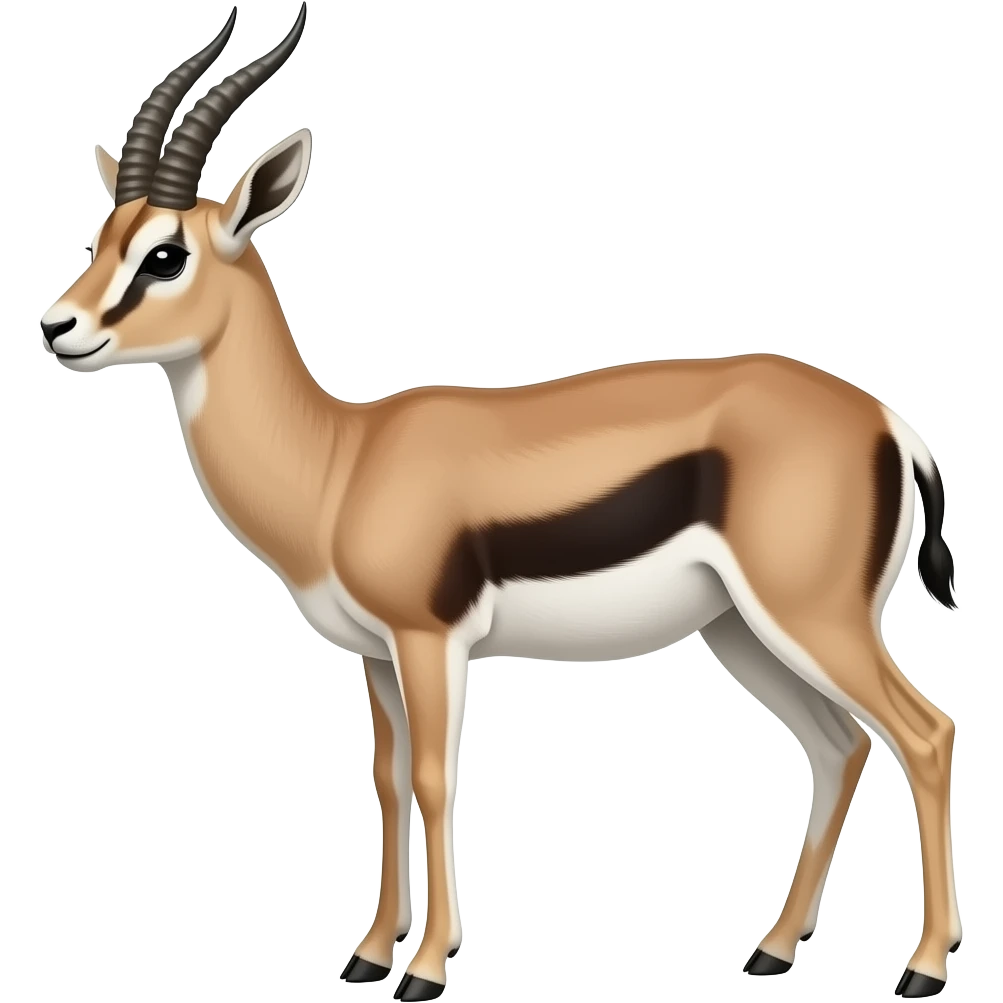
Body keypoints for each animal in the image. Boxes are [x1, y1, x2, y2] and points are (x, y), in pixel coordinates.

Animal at [36, 4, 964, 1000]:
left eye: (164, 254)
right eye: (100, 236)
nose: (57, 327)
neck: (339, 462)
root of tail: (890, 423)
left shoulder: (429, 640)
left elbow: (437, 778)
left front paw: (425, 968)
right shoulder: (375, 655)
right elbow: (387, 779)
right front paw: (369, 953)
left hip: (814, 617)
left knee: (923, 732)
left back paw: (922, 967)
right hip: (741, 630)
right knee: (837, 746)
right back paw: (772, 948)